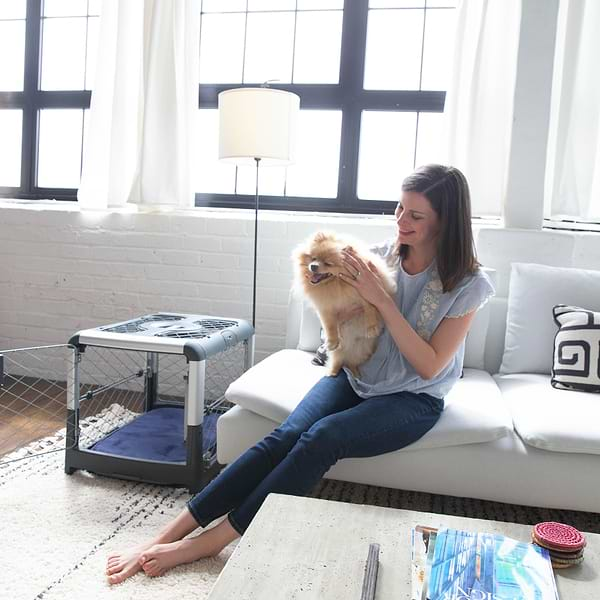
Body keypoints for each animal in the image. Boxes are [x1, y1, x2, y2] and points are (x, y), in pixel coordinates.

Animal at [292, 230, 396, 376]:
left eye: (328, 263)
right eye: (313, 258)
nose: (313, 266)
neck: (336, 284)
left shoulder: (368, 292)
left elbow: (370, 308)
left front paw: (372, 328)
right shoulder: (325, 308)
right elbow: (329, 325)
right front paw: (332, 341)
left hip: (363, 350)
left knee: (352, 363)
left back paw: (355, 373)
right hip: (339, 353)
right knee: (339, 361)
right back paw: (332, 372)